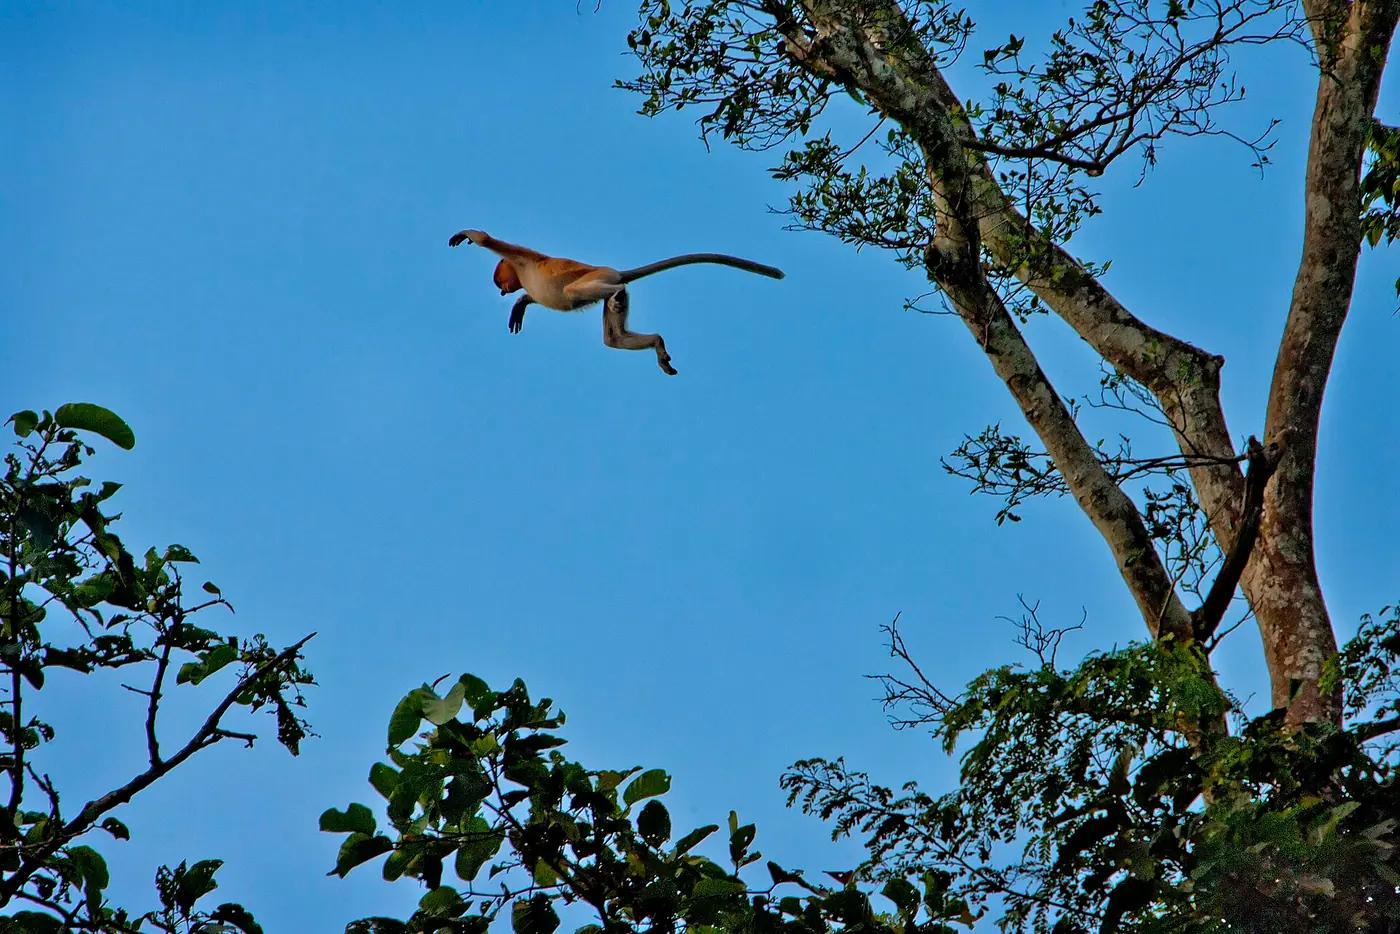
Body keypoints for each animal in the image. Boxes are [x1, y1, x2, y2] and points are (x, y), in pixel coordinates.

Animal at [448, 229, 784, 375]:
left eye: (500, 280)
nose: (502, 291)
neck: (519, 271)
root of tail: (616, 272)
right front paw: (521, 303)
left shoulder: (522, 257)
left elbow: (489, 240)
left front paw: (465, 236)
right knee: (614, 338)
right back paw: (656, 343)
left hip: (598, 277)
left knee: (578, 292)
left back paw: (617, 292)